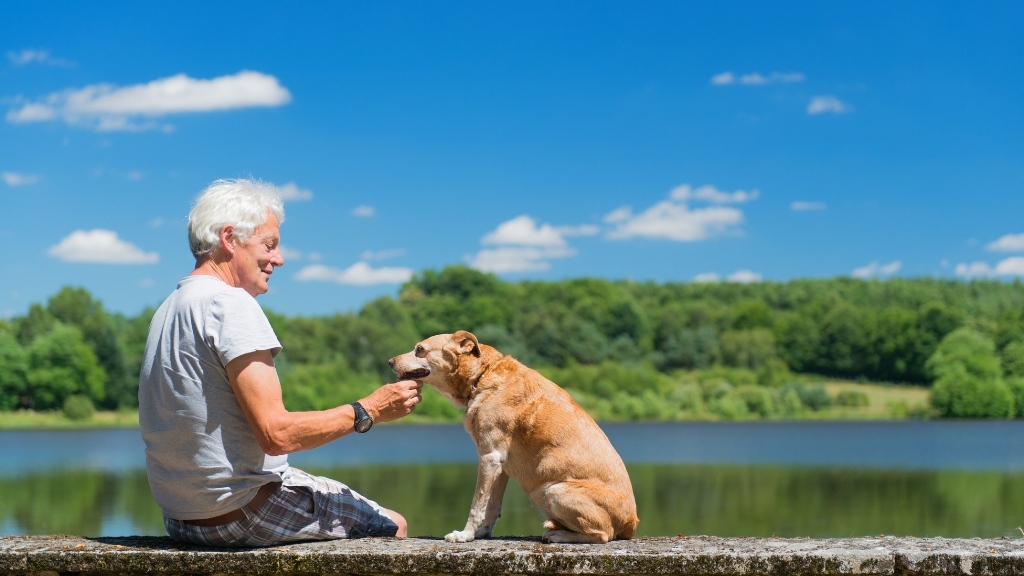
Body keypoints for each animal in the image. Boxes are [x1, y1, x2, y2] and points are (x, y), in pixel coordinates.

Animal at [387, 330, 634, 541]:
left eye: (420, 349)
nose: (389, 361)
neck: (481, 376)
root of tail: (631, 523)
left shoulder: (489, 457)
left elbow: (477, 504)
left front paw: (465, 535)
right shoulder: (501, 466)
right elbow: (492, 507)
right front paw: (482, 534)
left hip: (554, 489)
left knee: (603, 534)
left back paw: (559, 535)